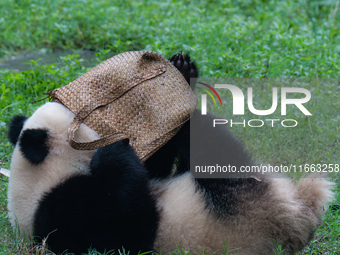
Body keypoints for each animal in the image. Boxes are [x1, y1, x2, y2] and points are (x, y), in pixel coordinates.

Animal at [6, 52, 334, 254]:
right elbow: (128, 220)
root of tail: (299, 212)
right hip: (235, 209)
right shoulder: (66, 212)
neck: (39, 177)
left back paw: (184, 73)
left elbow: (154, 171)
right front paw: (112, 152)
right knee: (214, 150)